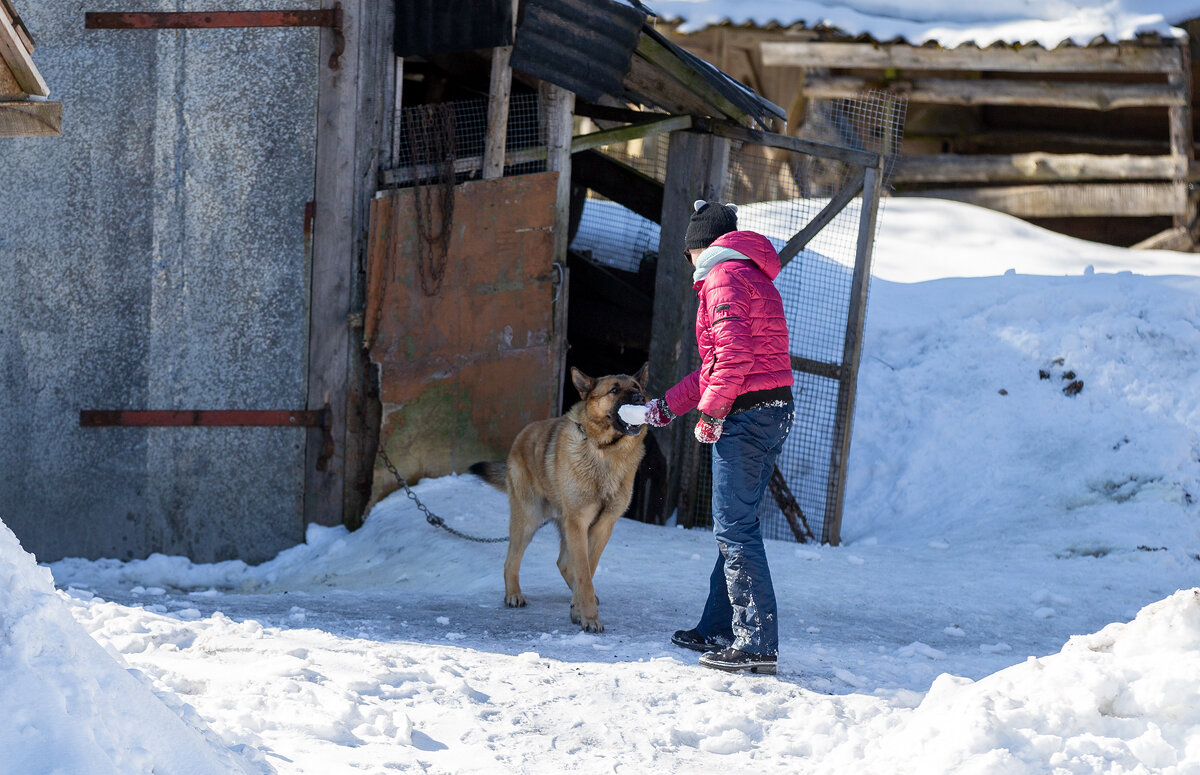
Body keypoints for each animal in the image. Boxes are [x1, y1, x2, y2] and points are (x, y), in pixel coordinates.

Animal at [472, 364, 652, 633]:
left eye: (637, 387)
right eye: (614, 390)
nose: (640, 399)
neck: (605, 451)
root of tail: (522, 434)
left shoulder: (602, 526)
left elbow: (587, 570)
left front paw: (578, 610)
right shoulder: (578, 522)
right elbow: (584, 575)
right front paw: (589, 617)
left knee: (563, 563)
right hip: (528, 520)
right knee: (511, 560)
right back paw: (513, 594)